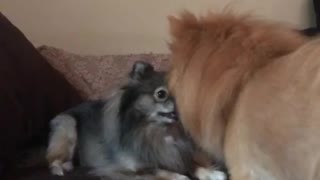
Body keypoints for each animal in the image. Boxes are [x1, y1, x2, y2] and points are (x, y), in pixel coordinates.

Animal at [46, 61, 226, 179]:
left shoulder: (179, 156)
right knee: (53, 160)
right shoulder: (132, 167)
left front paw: (211, 173)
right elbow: (161, 171)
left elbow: (193, 165)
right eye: (161, 94)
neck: (160, 132)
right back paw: (61, 168)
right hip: (68, 126)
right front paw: (181, 177)